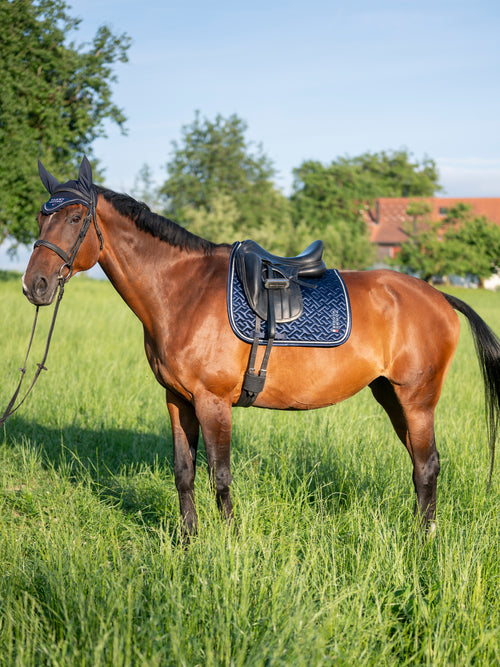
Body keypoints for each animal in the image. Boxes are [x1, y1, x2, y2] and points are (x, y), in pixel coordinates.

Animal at [21, 158, 498, 536]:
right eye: (41, 220)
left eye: (76, 218)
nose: (34, 286)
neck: (183, 291)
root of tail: (439, 297)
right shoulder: (177, 399)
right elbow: (183, 472)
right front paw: (188, 541)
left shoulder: (213, 402)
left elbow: (220, 476)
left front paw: (229, 545)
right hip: (391, 396)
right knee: (420, 464)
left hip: (417, 399)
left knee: (427, 464)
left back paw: (425, 540)